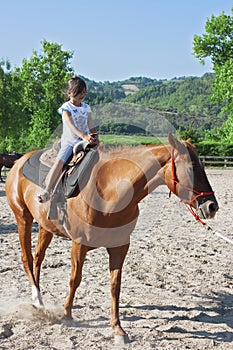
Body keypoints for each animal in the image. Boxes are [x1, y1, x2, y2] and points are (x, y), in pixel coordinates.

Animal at [5, 135, 218, 344]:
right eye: (191, 167)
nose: (212, 206)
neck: (109, 191)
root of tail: (18, 162)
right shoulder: (79, 244)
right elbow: (75, 279)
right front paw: (66, 315)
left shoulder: (120, 247)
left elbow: (115, 286)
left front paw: (118, 329)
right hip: (23, 218)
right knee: (27, 258)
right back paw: (37, 300)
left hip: (45, 226)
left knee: (37, 258)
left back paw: (38, 300)